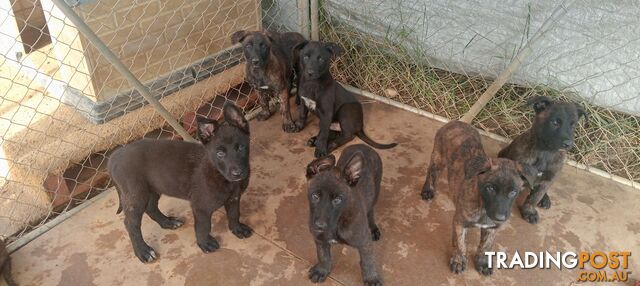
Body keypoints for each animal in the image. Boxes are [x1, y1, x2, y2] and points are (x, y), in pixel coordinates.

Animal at [107, 102, 252, 262]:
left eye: (241, 147)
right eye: (220, 153)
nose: (237, 173)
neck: (219, 173)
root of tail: (114, 157)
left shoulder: (234, 198)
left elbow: (234, 214)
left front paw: (237, 229)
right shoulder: (200, 207)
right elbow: (203, 226)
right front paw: (205, 243)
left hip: (153, 188)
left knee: (151, 208)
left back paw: (167, 222)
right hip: (136, 194)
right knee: (130, 224)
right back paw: (143, 251)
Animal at [304, 145, 382, 286]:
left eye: (338, 200)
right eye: (315, 196)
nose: (319, 225)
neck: (338, 221)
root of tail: (363, 145)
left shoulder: (364, 242)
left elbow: (368, 262)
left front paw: (371, 278)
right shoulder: (319, 239)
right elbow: (323, 256)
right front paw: (322, 270)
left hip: (376, 190)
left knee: (370, 210)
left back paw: (373, 228)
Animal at [420, 120, 536, 274]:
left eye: (513, 192)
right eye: (490, 188)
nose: (500, 217)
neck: (483, 206)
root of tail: (456, 122)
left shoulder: (492, 228)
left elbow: (486, 246)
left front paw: (483, 263)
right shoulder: (459, 222)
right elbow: (460, 243)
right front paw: (458, 260)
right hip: (438, 157)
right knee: (432, 172)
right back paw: (428, 190)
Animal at [498, 95, 588, 223]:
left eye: (573, 125)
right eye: (554, 122)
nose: (568, 144)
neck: (545, 152)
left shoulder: (548, 179)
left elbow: (535, 198)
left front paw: (529, 211)